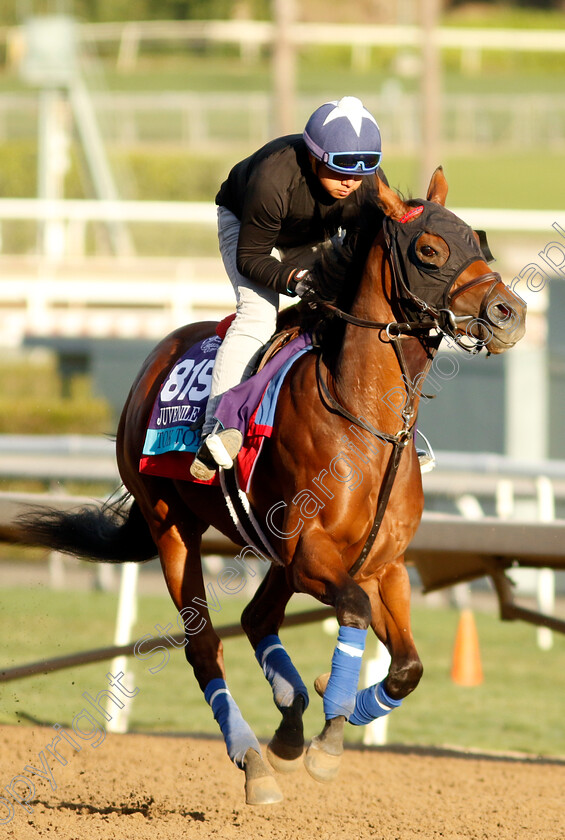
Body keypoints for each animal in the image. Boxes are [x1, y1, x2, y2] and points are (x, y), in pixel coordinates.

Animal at [17, 167, 524, 804]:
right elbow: (355, 612)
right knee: (205, 646)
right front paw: (329, 737)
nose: (510, 311)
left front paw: (334, 709)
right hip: (173, 527)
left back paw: (289, 722)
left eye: (479, 241)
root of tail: (154, 360)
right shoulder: (313, 554)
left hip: (277, 552)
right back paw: (254, 759)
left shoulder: (382, 564)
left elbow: (407, 667)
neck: (367, 420)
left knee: (258, 619)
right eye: (429, 251)